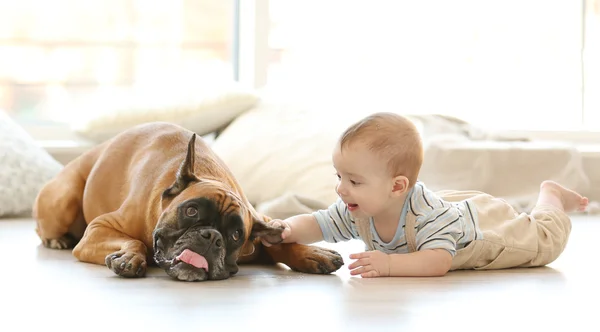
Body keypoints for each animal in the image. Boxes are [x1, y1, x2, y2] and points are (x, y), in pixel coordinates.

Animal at [32, 122, 344, 280]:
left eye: (235, 235)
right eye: (191, 211)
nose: (211, 236)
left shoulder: (262, 225)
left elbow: (280, 242)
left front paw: (311, 253)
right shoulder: (98, 230)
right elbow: (132, 241)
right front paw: (130, 256)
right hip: (64, 199)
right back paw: (56, 240)